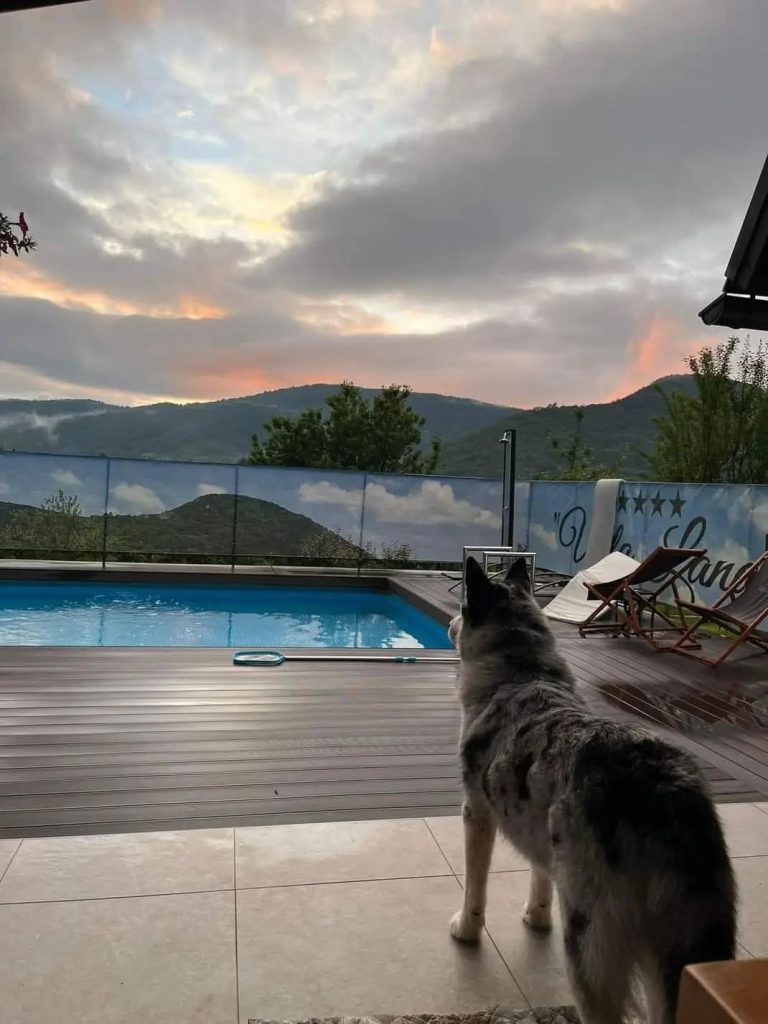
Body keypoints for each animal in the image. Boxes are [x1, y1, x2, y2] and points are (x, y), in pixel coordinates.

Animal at [448, 557, 735, 1024]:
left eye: (462, 609)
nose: (451, 623)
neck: (521, 673)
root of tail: (661, 789)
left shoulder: (476, 813)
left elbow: (475, 885)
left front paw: (466, 929)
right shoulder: (541, 829)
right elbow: (540, 876)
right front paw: (537, 918)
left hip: (591, 943)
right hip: (676, 952)